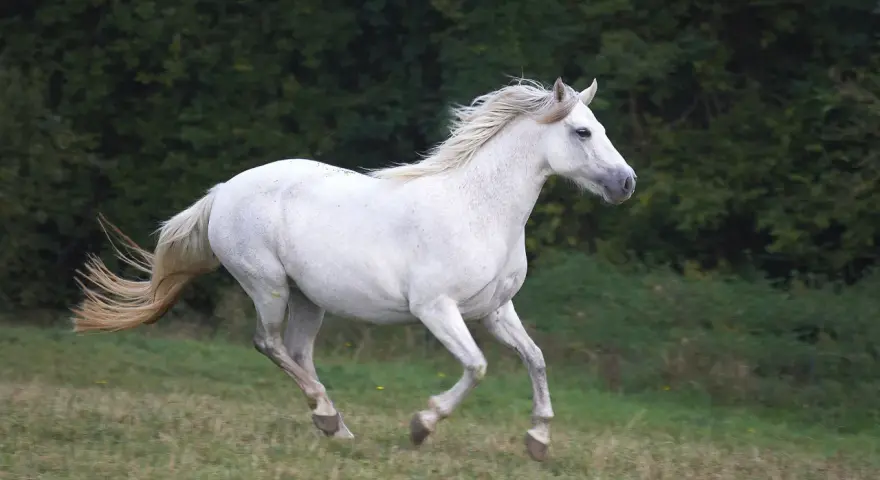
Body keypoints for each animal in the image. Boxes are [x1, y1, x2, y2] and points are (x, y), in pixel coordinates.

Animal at [70, 77, 636, 462]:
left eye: (602, 129)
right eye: (582, 132)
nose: (626, 183)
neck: (478, 209)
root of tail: (223, 191)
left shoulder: (494, 310)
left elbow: (535, 359)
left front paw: (538, 439)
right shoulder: (436, 309)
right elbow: (477, 366)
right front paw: (422, 425)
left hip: (307, 298)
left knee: (296, 350)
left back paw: (337, 427)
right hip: (268, 285)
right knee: (268, 344)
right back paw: (327, 415)